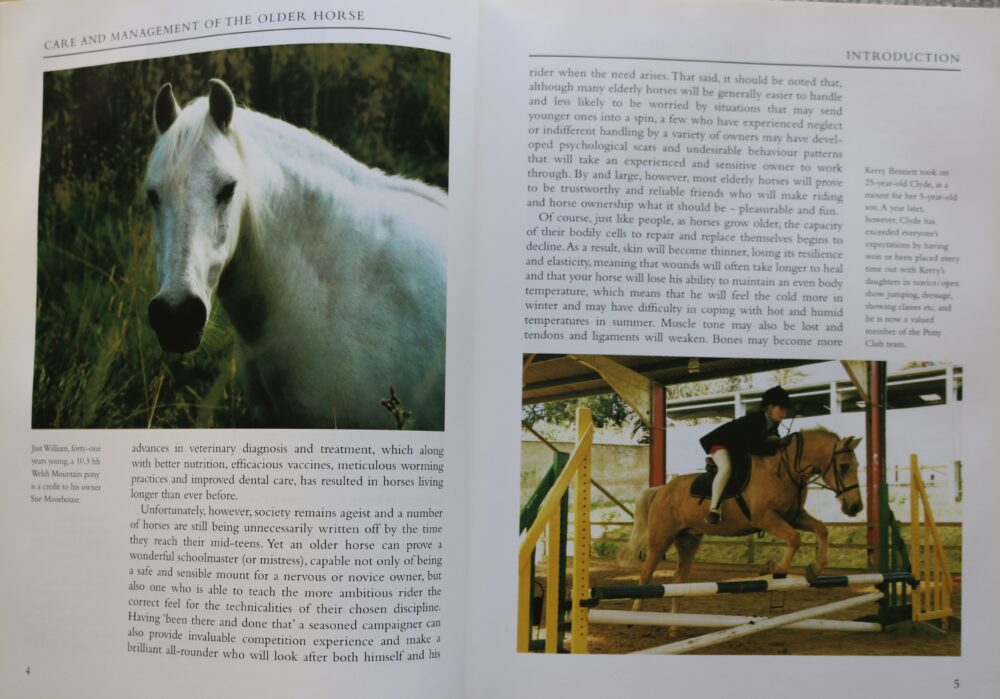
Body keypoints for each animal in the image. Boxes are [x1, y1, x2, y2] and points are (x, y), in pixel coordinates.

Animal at [621, 428, 863, 620]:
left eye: (857, 465)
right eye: (843, 466)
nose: (855, 507)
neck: (785, 470)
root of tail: (662, 489)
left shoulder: (795, 517)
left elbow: (822, 530)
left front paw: (815, 568)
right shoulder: (765, 518)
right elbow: (795, 539)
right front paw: (774, 568)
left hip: (688, 540)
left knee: (679, 579)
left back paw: (674, 625)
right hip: (661, 537)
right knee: (646, 574)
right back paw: (635, 614)